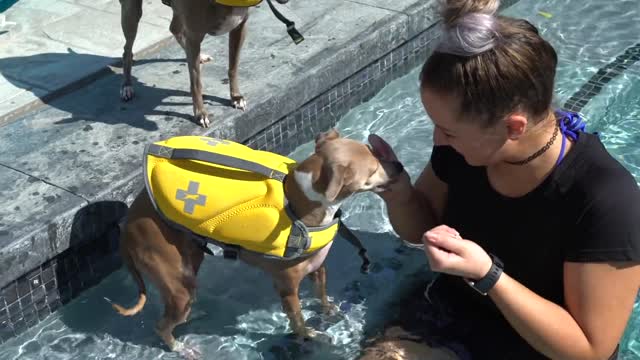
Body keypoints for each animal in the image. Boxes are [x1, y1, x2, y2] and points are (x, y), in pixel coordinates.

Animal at [114, 130, 404, 358]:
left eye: (374, 152)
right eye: (373, 168)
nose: (399, 167)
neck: (300, 203)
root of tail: (126, 228)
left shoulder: (318, 268)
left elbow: (321, 295)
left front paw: (329, 310)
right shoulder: (287, 289)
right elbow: (299, 322)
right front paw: (311, 335)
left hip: (188, 264)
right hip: (175, 277)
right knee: (161, 325)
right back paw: (180, 347)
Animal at [117, 0, 290, 128]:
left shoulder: (240, 26)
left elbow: (233, 67)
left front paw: (235, 96)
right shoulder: (194, 35)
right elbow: (196, 82)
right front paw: (200, 113)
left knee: (174, 28)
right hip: (131, 12)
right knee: (127, 50)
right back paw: (126, 86)